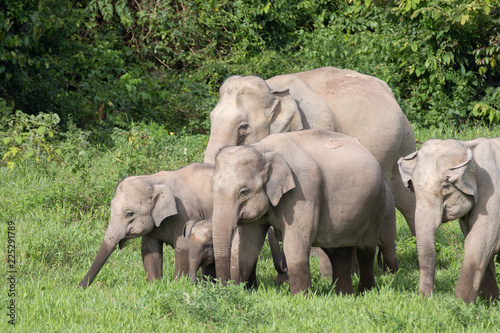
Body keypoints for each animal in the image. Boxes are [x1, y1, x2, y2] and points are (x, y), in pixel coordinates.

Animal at [78, 162, 213, 286]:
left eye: (129, 214)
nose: (79, 287)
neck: (152, 180)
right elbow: (149, 249)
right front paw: (155, 285)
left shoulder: (185, 214)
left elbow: (183, 247)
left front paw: (178, 285)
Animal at [204, 67, 418, 236]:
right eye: (211, 118)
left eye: (243, 127)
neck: (274, 90)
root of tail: (386, 88)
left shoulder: (314, 125)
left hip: (402, 140)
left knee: (406, 198)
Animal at [211, 128, 398, 294]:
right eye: (213, 188)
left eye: (243, 192)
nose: (225, 289)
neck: (262, 148)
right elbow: (247, 246)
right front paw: (240, 291)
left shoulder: (303, 192)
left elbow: (295, 244)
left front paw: (301, 297)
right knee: (340, 252)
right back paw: (344, 295)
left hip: (377, 204)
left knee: (366, 250)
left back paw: (365, 292)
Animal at [398, 137, 500, 304]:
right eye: (413, 187)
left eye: (445, 186)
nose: (425, 300)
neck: (469, 147)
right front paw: (490, 303)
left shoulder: (493, 197)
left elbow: (478, 243)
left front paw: (461, 304)